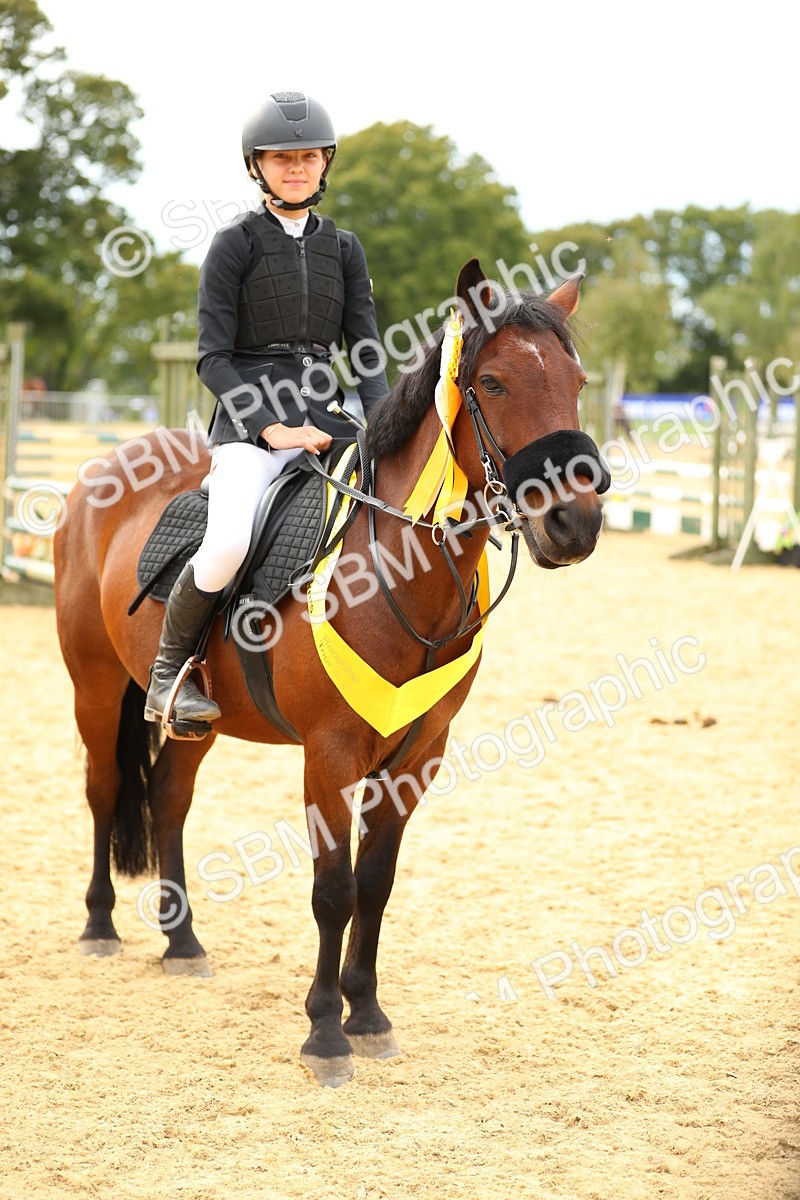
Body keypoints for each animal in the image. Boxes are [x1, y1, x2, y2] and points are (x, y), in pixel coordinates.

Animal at [53, 259, 607, 1087]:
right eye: (496, 382)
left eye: (576, 379)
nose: (575, 524)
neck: (395, 572)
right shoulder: (331, 754)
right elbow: (333, 890)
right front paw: (324, 1032)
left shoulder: (417, 756)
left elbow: (375, 884)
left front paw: (368, 1013)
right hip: (93, 685)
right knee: (104, 789)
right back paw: (98, 925)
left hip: (193, 723)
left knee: (170, 798)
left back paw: (182, 942)